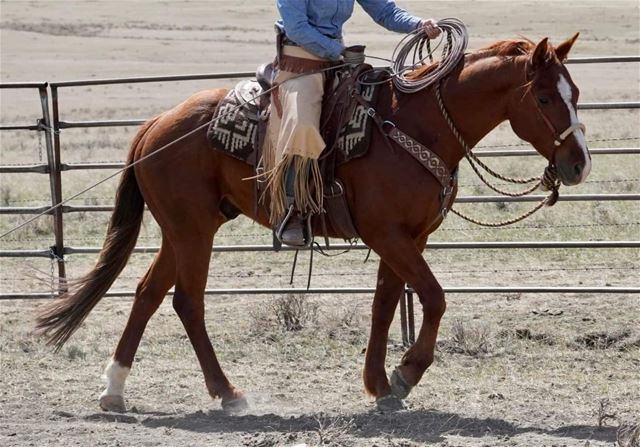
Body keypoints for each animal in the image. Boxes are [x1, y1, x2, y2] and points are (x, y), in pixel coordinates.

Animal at [35, 33, 592, 414]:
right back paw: (228, 393)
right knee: (186, 302)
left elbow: (384, 306)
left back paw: (114, 390)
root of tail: (155, 125)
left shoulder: (406, 237)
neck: (415, 126)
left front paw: (379, 387)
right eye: (545, 98)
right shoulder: (388, 235)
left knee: (148, 294)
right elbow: (434, 298)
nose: (579, 164)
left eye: (577, 93)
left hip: (184, 228)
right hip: (193, 231)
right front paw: (406, 373)